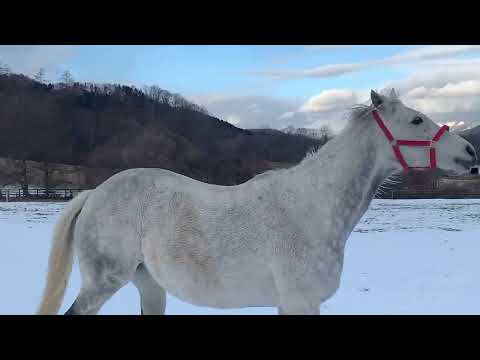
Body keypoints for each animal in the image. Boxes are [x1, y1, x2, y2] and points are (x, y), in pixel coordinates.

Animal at [36, 90, 476, 316]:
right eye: (417, 120)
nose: (470, 153)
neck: (312, 208)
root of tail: (95, 194)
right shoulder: (299, 303)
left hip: (150, 285)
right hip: (102, 282)